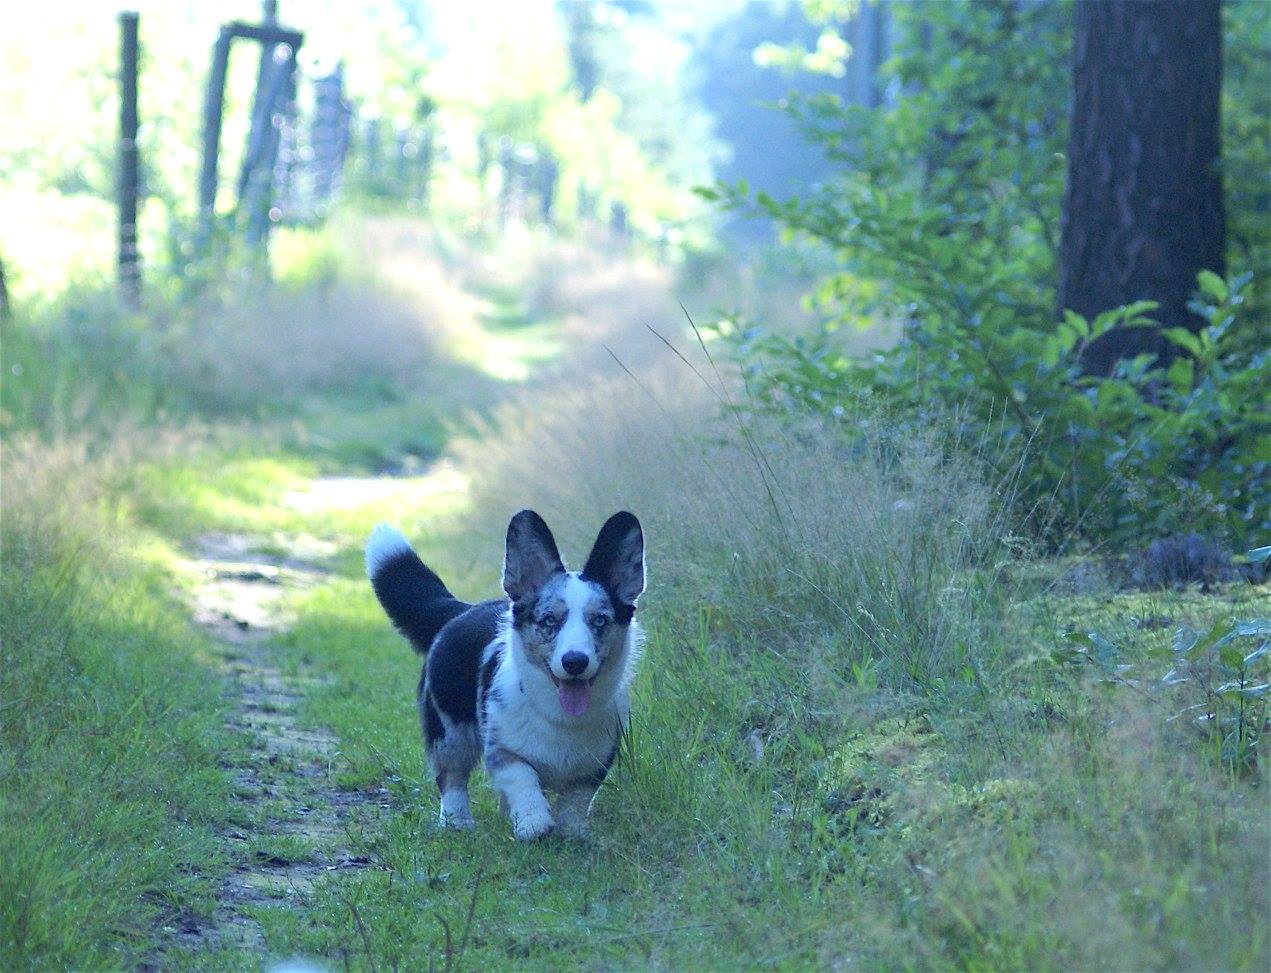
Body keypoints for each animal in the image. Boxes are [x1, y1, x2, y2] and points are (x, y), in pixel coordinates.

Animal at [366, 513, 645, 843]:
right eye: (549, 620)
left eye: (600, 620)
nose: (575, 662)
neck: (560, 718)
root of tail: (461, 611)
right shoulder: (502, 752)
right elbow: (523, 780)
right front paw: (534, 823)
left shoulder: (594, 767)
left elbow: (575, 801)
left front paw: (573, 834)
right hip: (450, 733)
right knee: (451, 779)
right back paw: (458, 822)